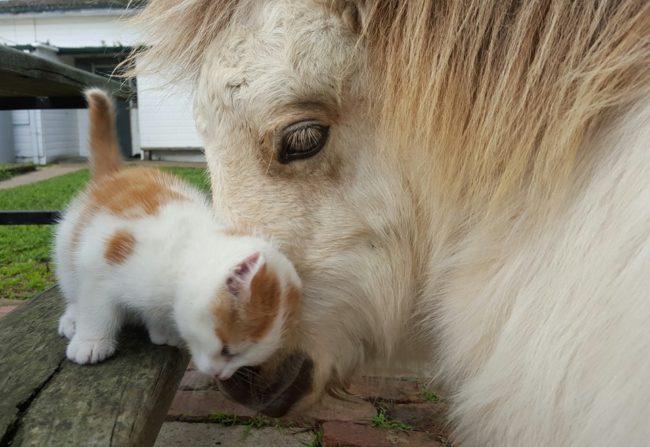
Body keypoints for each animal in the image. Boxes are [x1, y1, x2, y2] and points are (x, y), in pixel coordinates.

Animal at [54, 88, 300, 382]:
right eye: (228, 350)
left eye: (242, 357)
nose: (222, 375)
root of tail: (116, 174)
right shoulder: (100, 258)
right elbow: (96, 306)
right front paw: (91, 341)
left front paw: (162, 330)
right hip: (68, 244)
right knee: (72, 285)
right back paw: (72, 319)